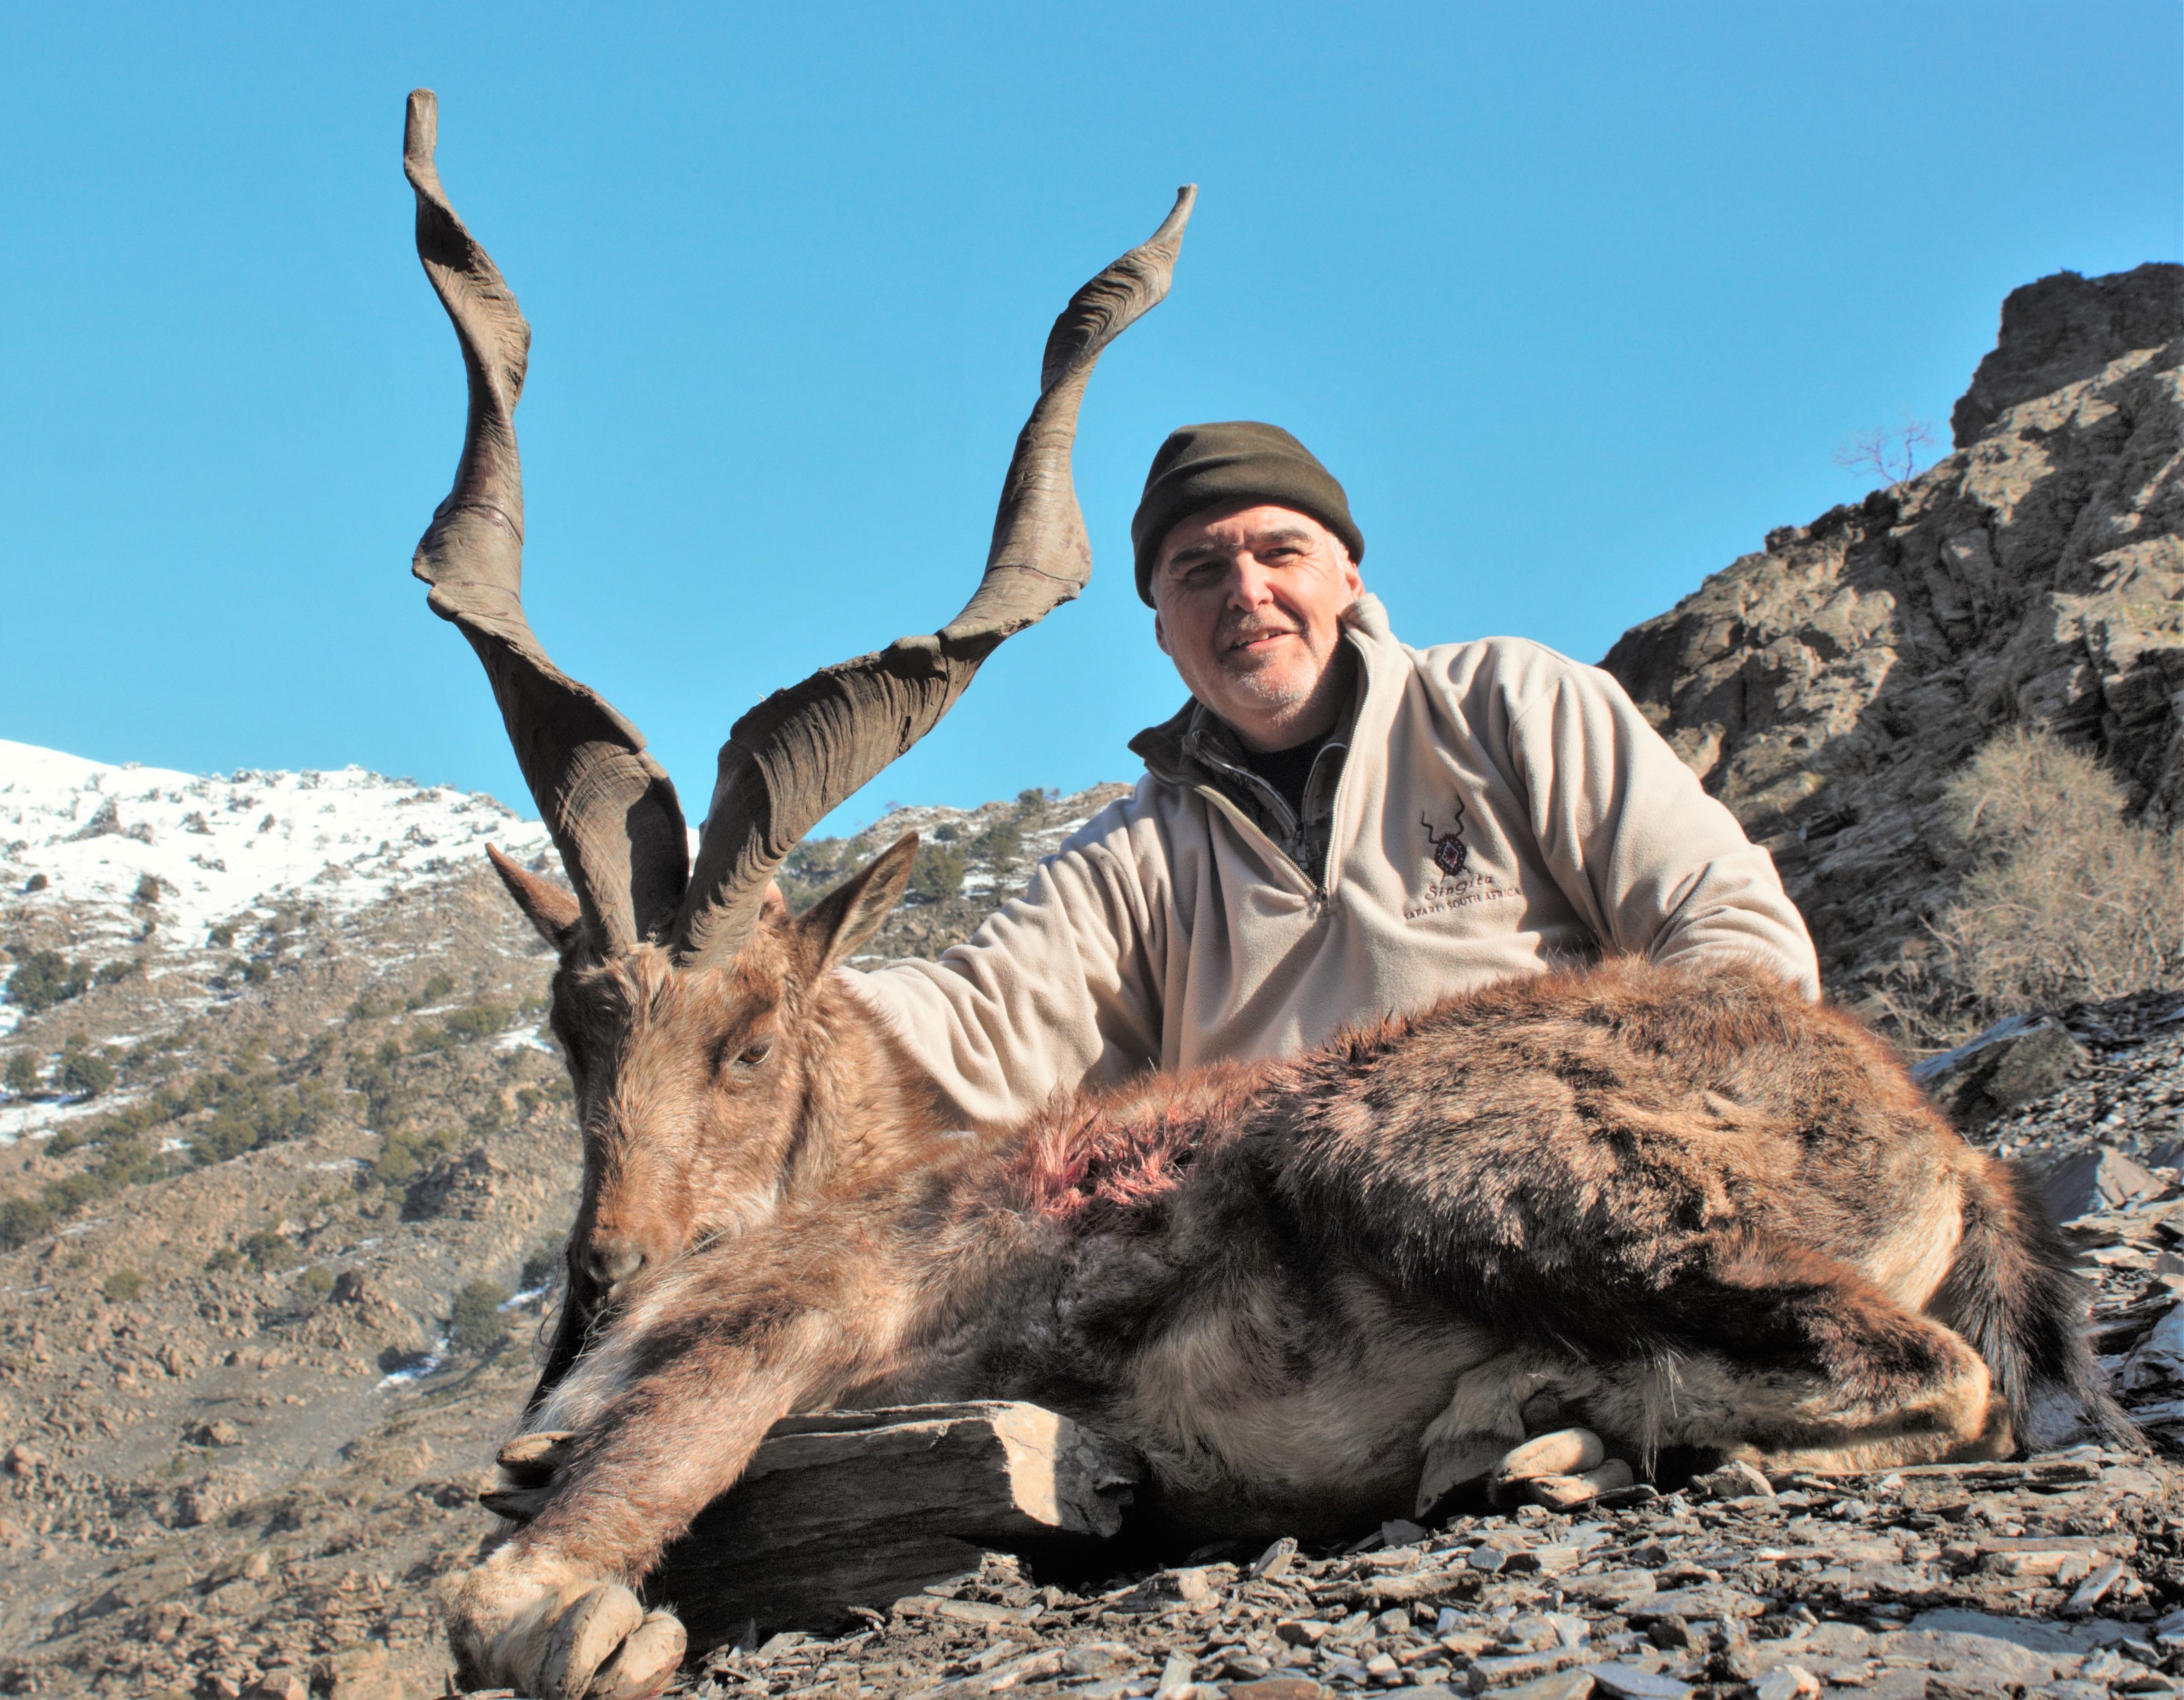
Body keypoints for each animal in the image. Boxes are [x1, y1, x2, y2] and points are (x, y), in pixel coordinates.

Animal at [402, 96, 2123, 1695]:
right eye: (572, 1032)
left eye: (752, 1037)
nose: (610, 1272)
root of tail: (1946, 1148)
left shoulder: (815, 1316)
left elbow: (525, 1579)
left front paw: (591, 1619)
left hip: (1451, 1169)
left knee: (1932, 1374)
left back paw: (1539, 1421)